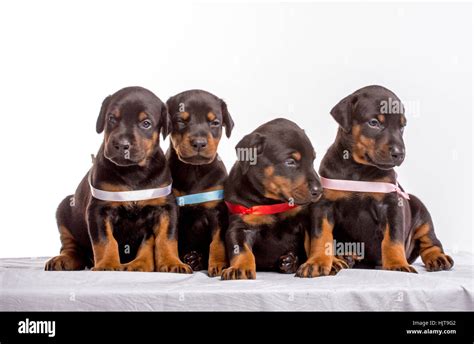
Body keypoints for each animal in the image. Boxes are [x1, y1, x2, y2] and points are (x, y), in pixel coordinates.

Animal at [45, 86, 192, 274]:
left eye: (146, 123)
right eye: (111, 119)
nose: (122, 145)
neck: (133, 171)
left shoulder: (165, 207)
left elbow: (166, 238)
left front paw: (172, 262)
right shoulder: (99, 209)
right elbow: (105, 240)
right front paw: (107, 264)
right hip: (64, 209)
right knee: (71, 247)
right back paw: (64, 260)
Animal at [166, 89, 234, 276]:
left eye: (215, 122)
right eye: (180, 121)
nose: (199, 143)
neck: (194, 170)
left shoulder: (217, 211)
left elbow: (217, 242)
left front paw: (219, 264)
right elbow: (171, 238)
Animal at [222, 118, 322, 280]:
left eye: (313, 160)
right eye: (290, 161)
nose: (319, 190)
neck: (272, 201)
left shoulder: (304, 220)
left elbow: (311, 244)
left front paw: (312, 264)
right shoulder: (241, 225)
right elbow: (241, 250)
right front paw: (239, 268)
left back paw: (290, 261)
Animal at [296, 86, 452, 276]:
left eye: (402, 126)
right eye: (373, 122)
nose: (399, 153)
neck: (358, 169)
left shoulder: (391, 204)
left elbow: (393, 238)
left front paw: (396, 264)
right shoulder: (324, 205)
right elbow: (321, 236)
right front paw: (317, 262)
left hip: (420, 210)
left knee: (430, 241)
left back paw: (438, 258)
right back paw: (344, 257)